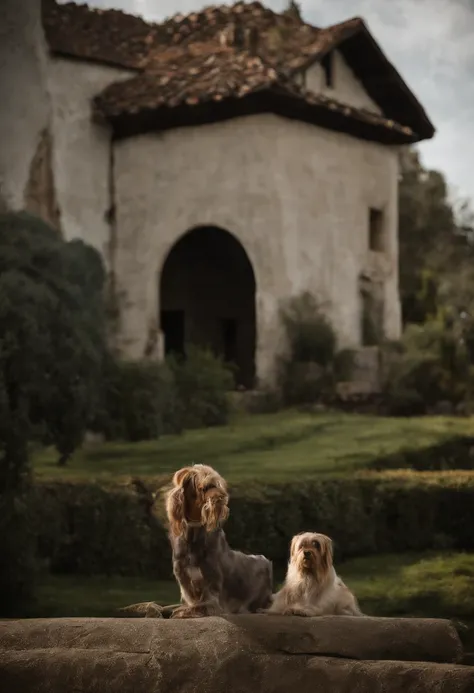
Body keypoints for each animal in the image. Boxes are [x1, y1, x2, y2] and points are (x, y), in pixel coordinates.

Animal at [165, 462, 272, 620]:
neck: (194, 534)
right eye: (205, 487)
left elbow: (207, 603)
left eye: (218, 484)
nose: (223, 498)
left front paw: (190, 611)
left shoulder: (211, 578)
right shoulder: (183, 576)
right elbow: (191, 599)